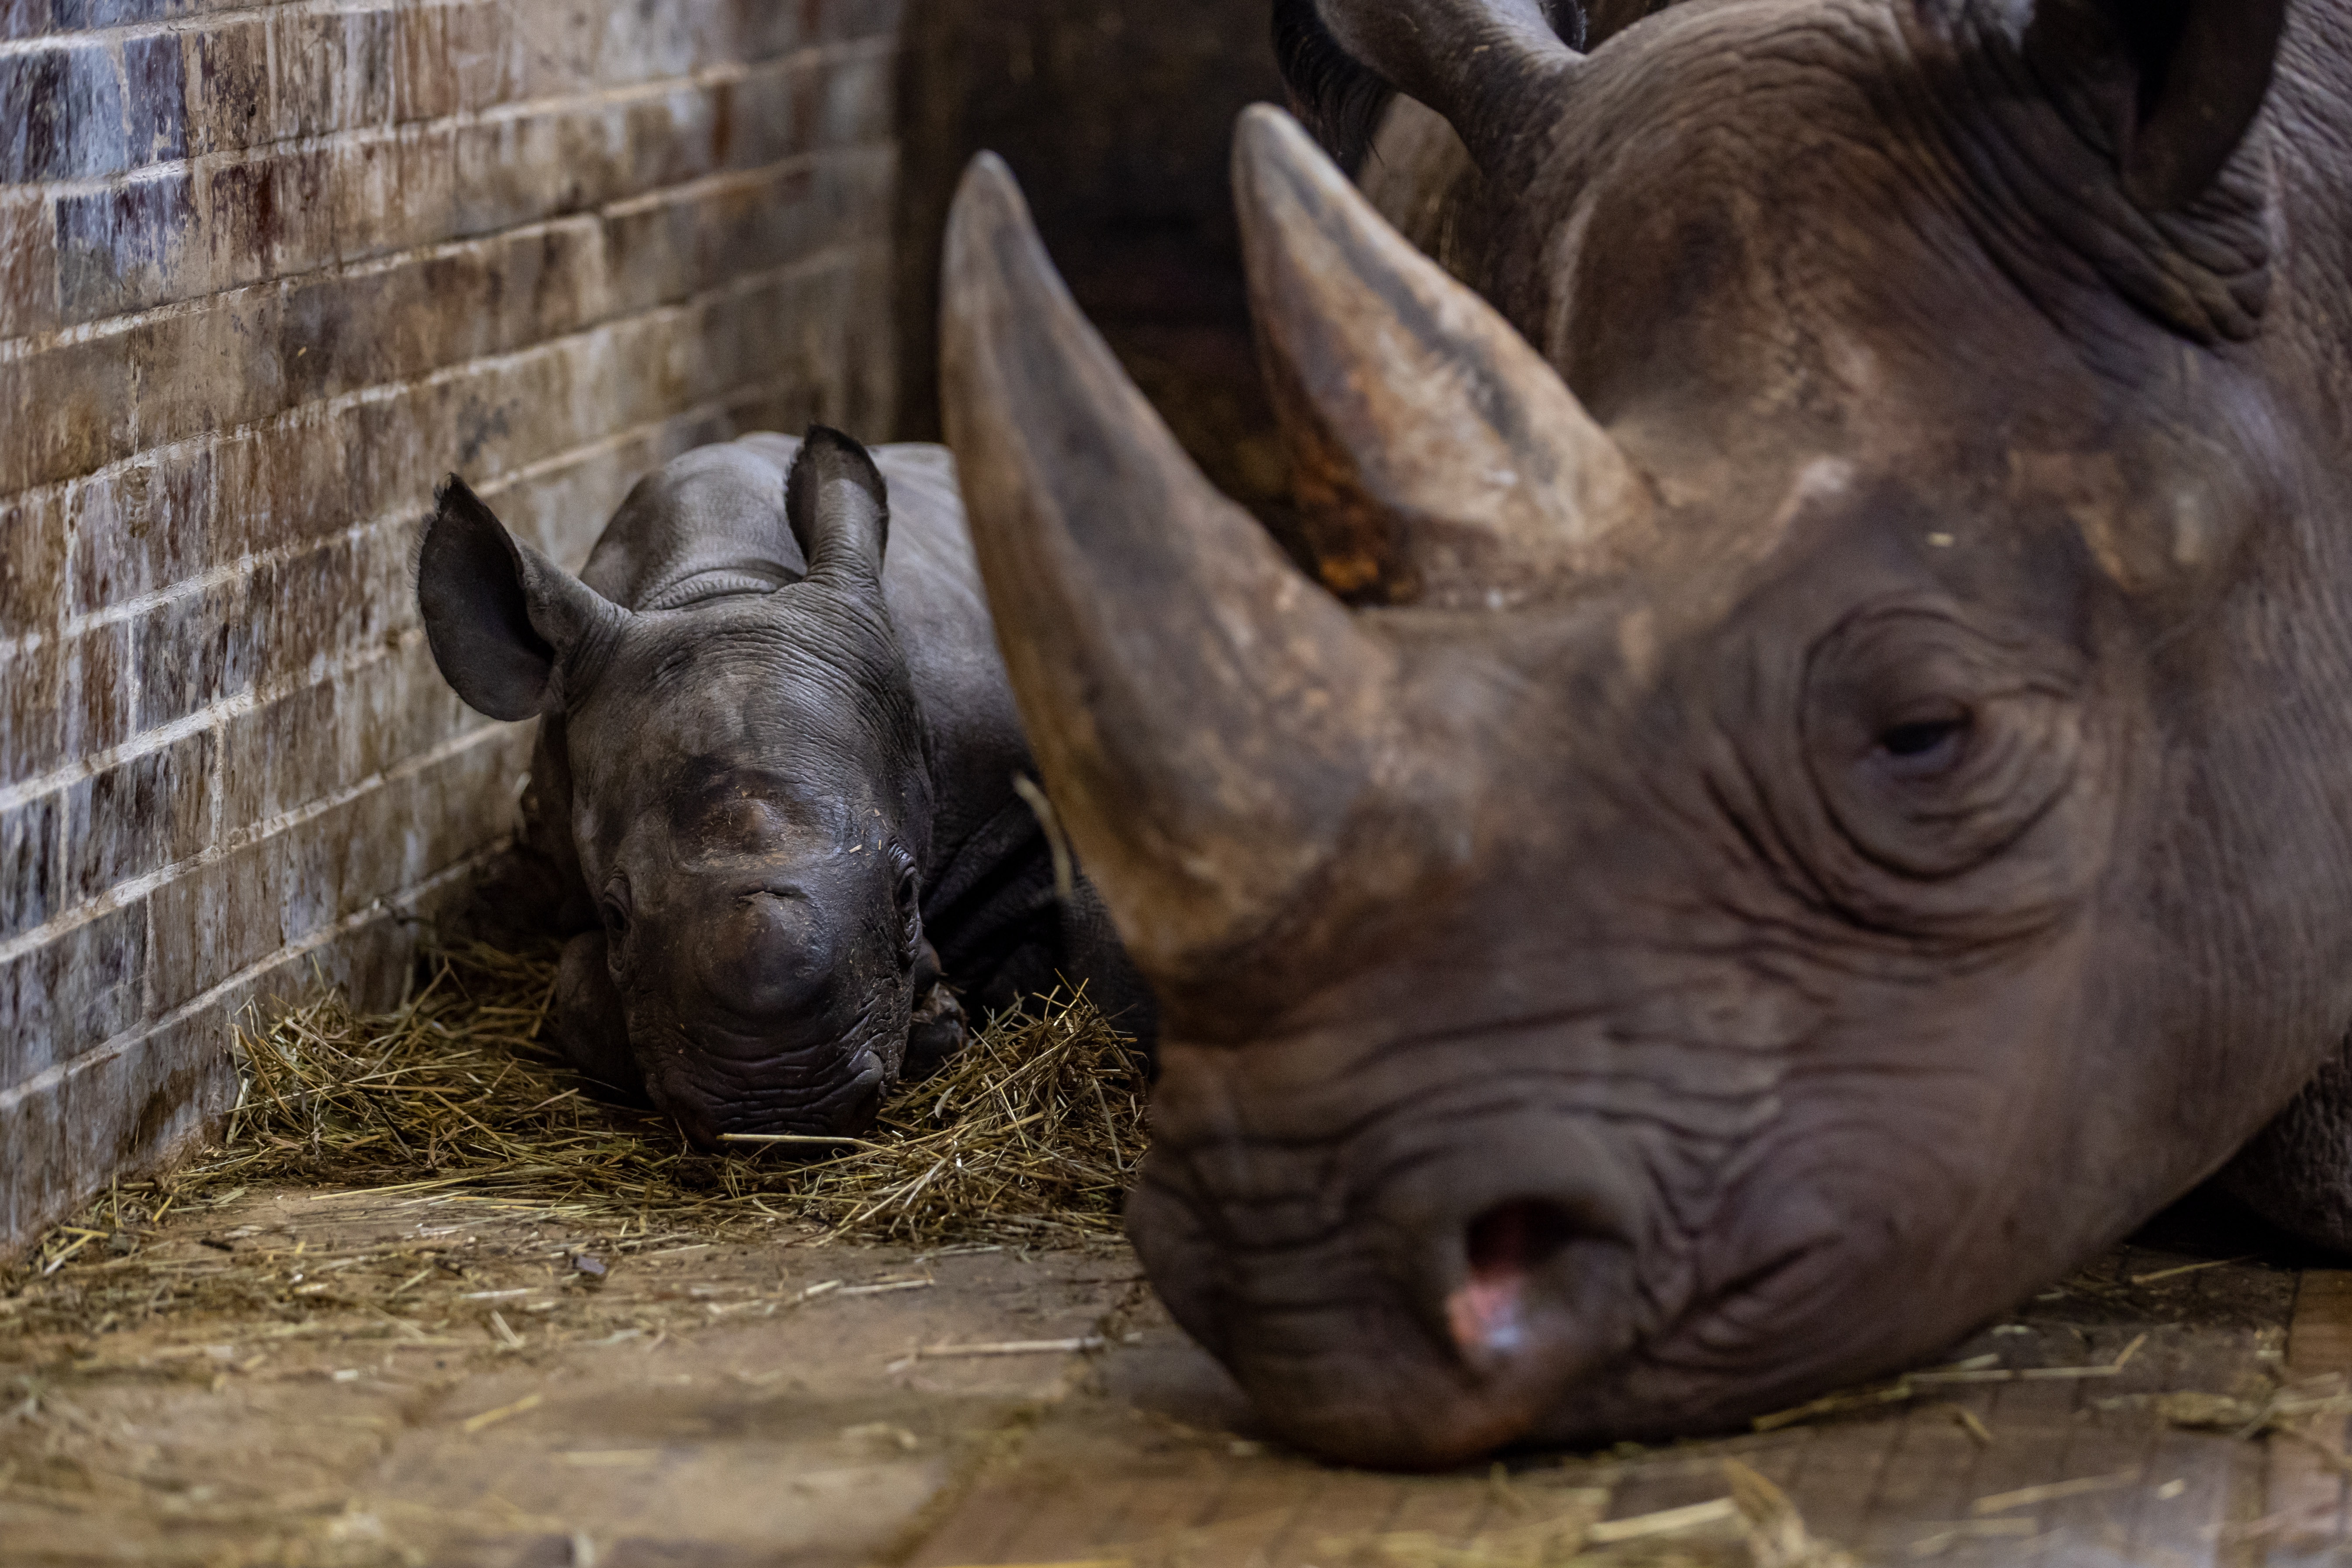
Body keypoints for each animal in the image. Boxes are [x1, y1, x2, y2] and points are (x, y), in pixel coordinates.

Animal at [416, 429, 1150, 1147]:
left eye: (907, 893)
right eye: (617, 916)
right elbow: (576, 990)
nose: (778, 1114)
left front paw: (937, 1001)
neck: (722, 584)